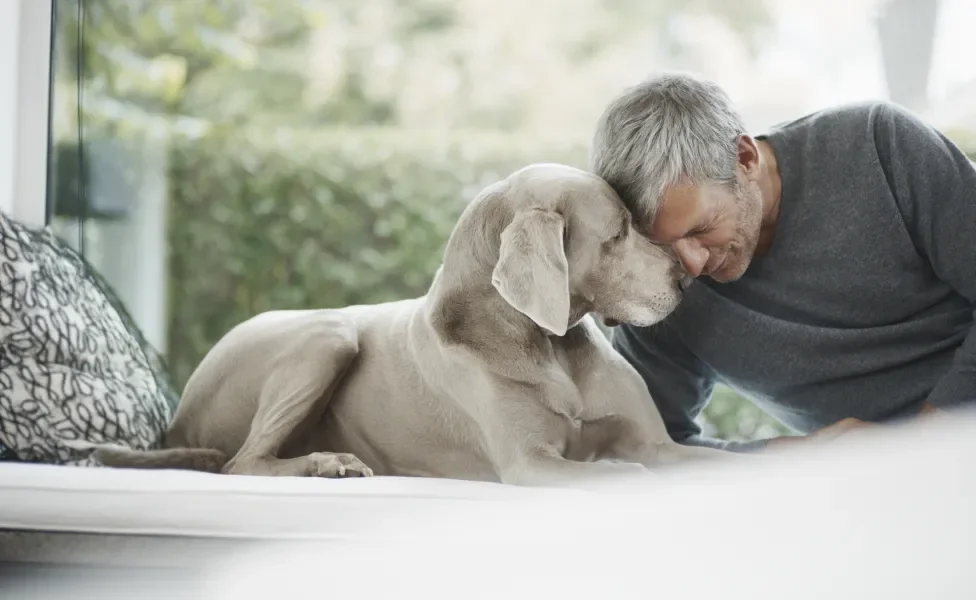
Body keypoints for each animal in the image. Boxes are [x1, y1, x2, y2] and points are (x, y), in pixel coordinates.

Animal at [93, 162, 732, 486]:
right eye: (619, 231)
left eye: (637, 221)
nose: (685, 279)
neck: (546, 346)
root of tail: (178, 425)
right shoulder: (531, 464)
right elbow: (627, 475)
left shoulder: (656, 443)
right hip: (327, 335)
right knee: (242, 462)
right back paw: (328, 463)